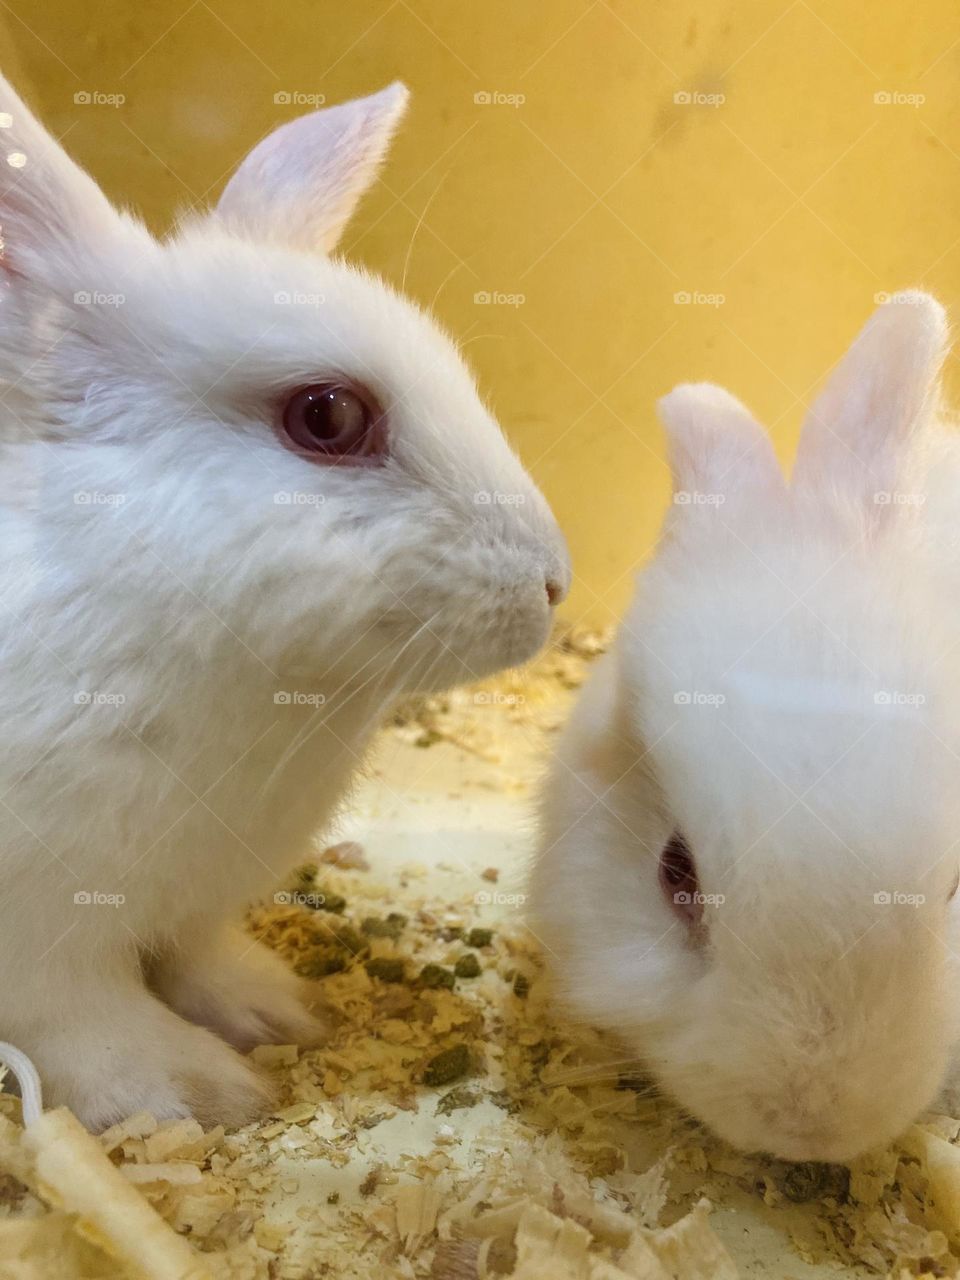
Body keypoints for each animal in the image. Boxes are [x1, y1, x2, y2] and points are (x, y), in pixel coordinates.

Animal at [0, 72, 569, 1131]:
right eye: (329, 416)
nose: (555, 582)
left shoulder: (194, 899)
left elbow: (199, 959)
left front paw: (281, 1013)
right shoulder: (42, 934)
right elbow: (81, 1019)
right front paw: (196, 1092)